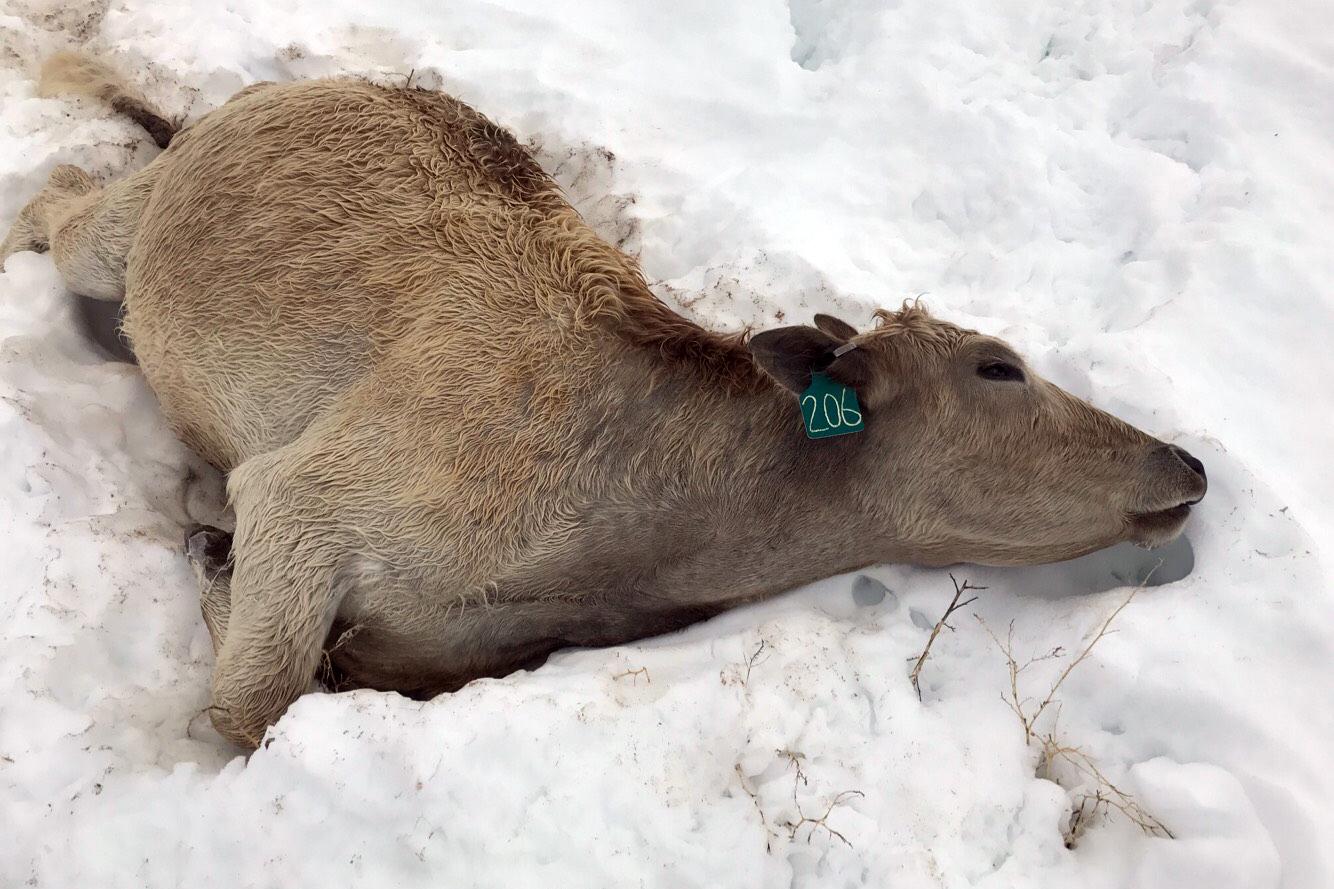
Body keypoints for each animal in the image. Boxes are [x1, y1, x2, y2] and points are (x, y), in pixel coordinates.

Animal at [2, 53, 1211, 747]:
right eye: (999, 366)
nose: (1189, 462)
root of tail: (259, 92)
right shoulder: (303, 493)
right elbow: (250, 706)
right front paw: (211, 553)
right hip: (122, 236)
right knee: (60, 204)